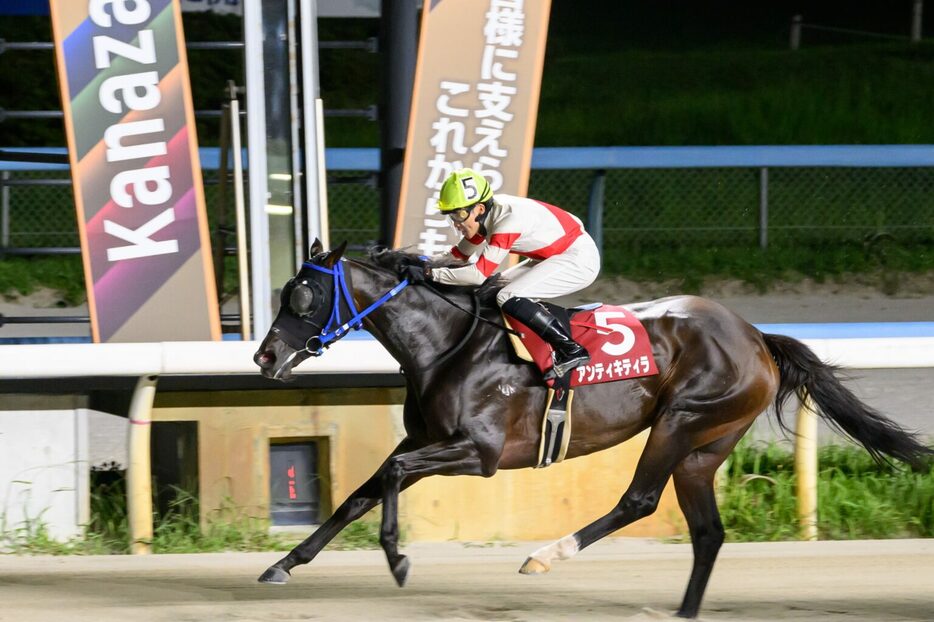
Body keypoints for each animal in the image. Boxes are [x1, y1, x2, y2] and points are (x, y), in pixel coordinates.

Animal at [252, 239, 932, 620]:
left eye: (303, 297)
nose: (263, 356)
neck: (449, 343)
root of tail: (757, 336)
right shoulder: (423, 441)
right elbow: (357, 494)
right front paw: (283, 564)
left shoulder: (479, 451)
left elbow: (388, 478)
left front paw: (397, 561)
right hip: (706, 446)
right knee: (707, 532)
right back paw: (683, 612)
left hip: (682, 420)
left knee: (640, 500)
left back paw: (544, 556)